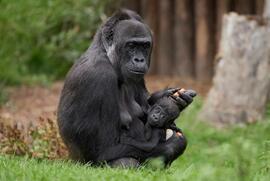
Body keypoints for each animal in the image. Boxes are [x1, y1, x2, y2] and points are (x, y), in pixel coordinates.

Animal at [57, 9, 193, 167]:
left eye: (145, 46)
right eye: (131, 45)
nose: (139, 60)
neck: (107, 55)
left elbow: (147, 108)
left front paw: (175, 99)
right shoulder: (99, 76)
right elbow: (105, 148)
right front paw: (175, 145)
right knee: (126, 160)